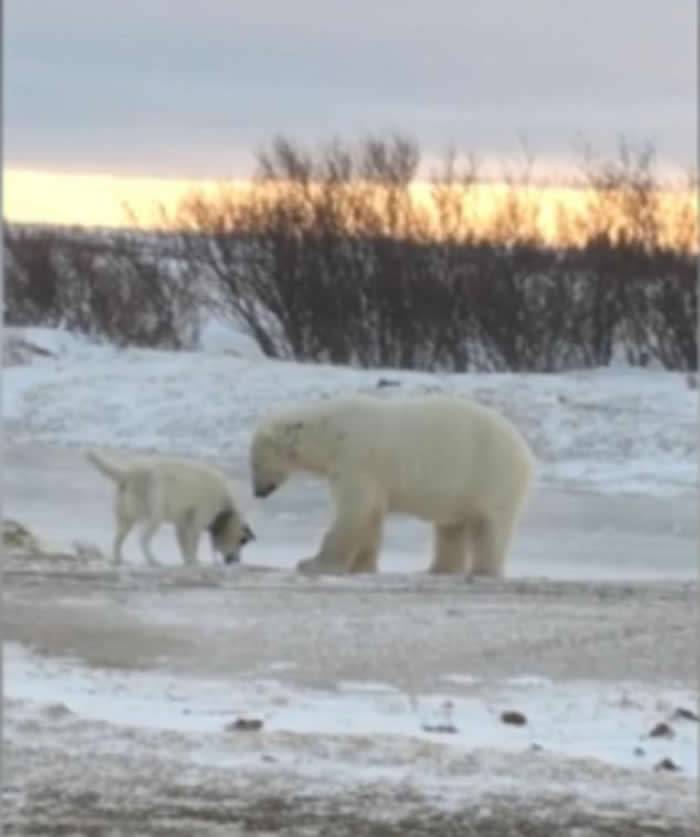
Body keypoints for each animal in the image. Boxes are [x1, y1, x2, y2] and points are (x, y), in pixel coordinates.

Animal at [85, 450, 254, 568]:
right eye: (241, 541)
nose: (236, 561)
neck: (224, 507)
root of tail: (128, 473)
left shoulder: (182, 522)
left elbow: (182, 542)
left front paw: (187, 561)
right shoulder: (198, 518)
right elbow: (193, 541)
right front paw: (194, 561)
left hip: (125, 514)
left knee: (118, 538)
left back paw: (118, 559)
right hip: (155, 508)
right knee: (143, 538)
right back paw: (153, 560)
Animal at [249, 392, 532, 576]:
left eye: (255, 462)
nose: (258, 491)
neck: (331, 434)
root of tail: (525, 452)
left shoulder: (356, 458)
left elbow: (355, 511)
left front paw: (311, 563)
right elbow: (371, 515)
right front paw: (362, 567)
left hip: (491, 475)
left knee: (490, 526)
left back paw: (483, 570)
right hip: (463, 487)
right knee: (451, 528)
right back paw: (437, 569)